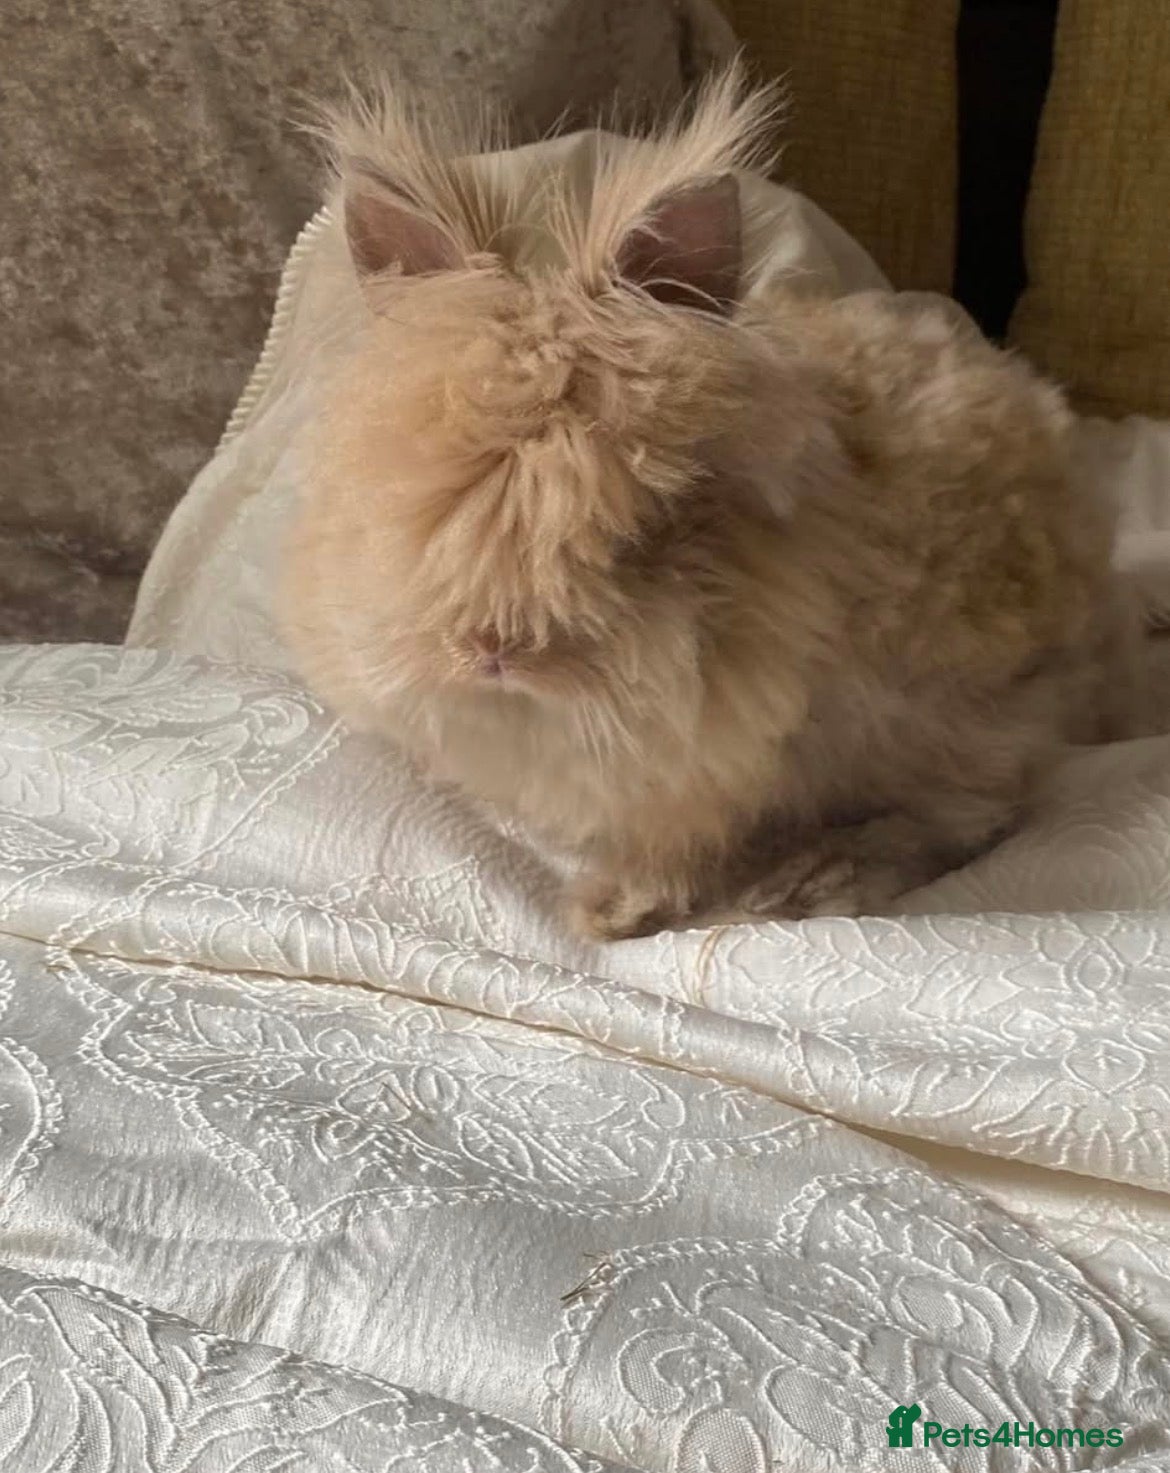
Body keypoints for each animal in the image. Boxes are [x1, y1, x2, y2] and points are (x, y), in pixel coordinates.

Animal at [282, 68, 1134, 941]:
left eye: (639, 524)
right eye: (421, 503)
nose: (496, 652)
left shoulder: (702, 771)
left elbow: (677, 847)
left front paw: (607, 913)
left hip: (970, 720)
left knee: (963, 816)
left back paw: (810, 882)